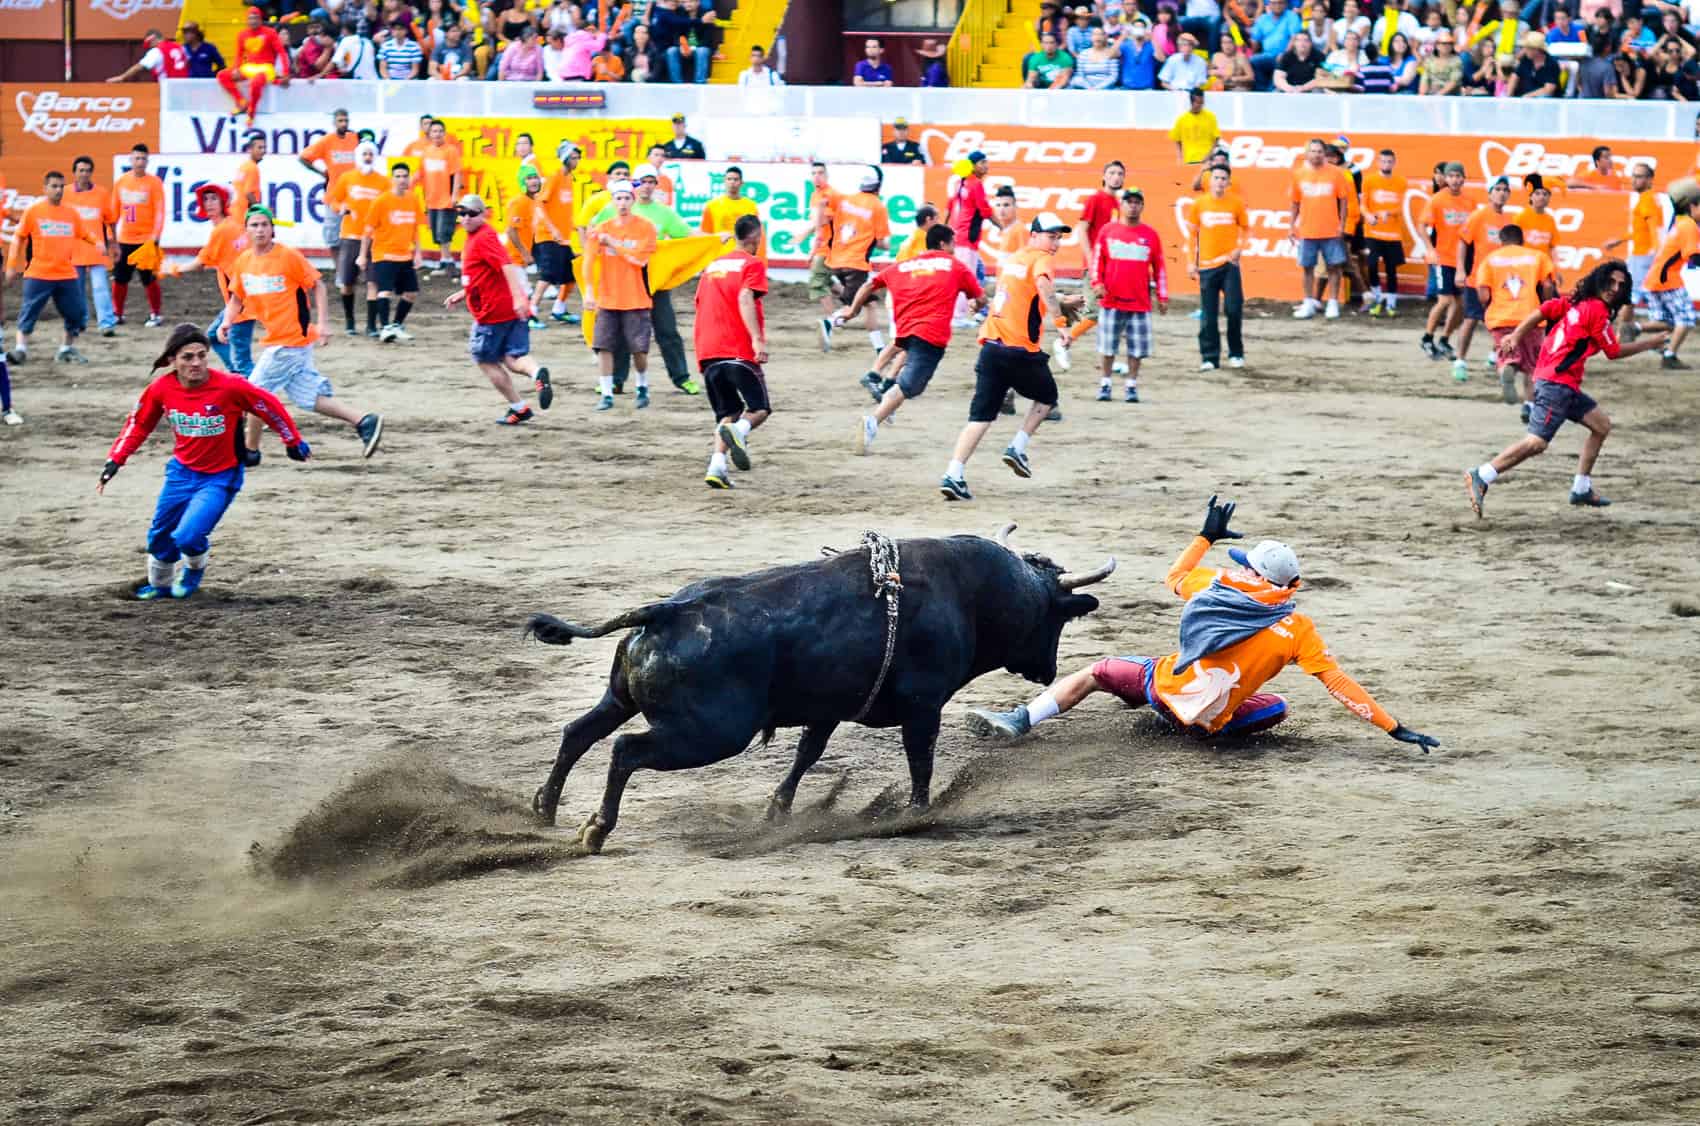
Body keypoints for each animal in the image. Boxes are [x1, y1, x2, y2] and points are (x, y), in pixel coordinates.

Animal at [523, 530, 1122, 857]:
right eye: (1057, 617)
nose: (1047, 671)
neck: (972, 594)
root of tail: (668, 611)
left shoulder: (830, 708)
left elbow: (807, 754)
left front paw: (777, 811)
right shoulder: (923, 705)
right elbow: (921, 759)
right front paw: (917, 813)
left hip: (623, 699)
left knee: (579, 732)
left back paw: (544, 810)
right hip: (709, 734)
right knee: (626, 750)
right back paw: (595, 830)